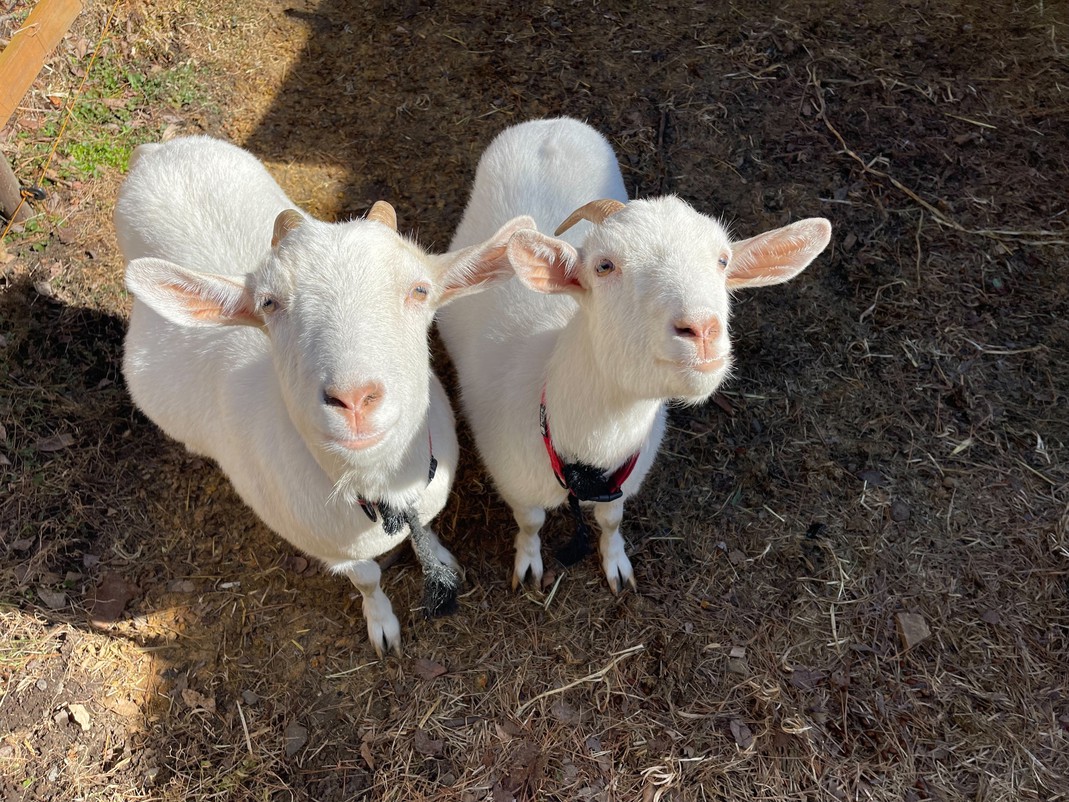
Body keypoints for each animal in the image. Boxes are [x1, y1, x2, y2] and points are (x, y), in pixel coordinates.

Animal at [118, 135, 530, 654]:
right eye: (269, 303)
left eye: (420, 290)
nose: (354, 399)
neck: (377, 490)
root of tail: (158, 150)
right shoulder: (332, 550)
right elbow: (368, 579)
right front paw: (382, 625)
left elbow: (429, 530)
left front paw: (438, 556)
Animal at [436, 120, 833, 598]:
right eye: (604, 266)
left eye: (723, 261)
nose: (701, 330)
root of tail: (549, 125)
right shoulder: (516, 484)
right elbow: (530, 522)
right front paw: (528, 563)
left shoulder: (623, 485)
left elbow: (611, 521)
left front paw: (616, 564)